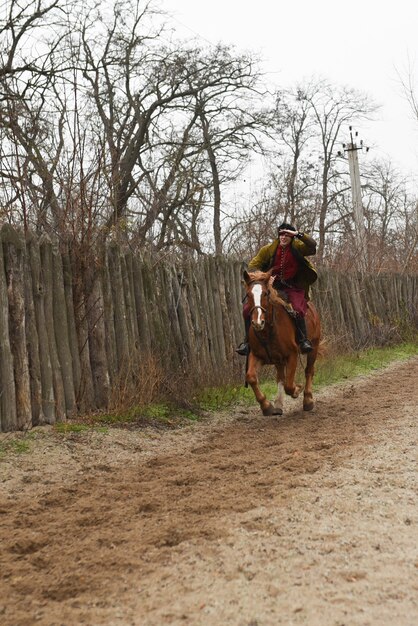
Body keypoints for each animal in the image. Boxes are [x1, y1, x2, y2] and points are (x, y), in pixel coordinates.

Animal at [243, 268, 322, 414]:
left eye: (265, 294)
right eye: (248, 295)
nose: (257, 323)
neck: (267, 330)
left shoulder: (292, 355)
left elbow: (289, 385)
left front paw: (297, 389)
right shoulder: (256, 355)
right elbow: (251, 377)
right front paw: (266, 406)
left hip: (314, 345)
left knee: (309, 370)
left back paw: (308, 400)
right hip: (278, 359)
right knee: (280, 377)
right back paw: (278, 404)